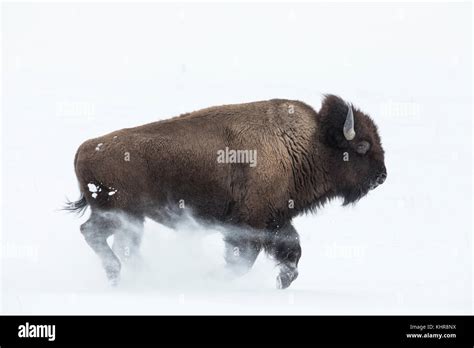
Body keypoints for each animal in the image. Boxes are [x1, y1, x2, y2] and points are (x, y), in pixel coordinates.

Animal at [65, 94, 386, 288]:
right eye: (362, 145)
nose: (382, 176)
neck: (309, 144)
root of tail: (83, 149)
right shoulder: (249, 224)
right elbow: (242, 259)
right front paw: (214, 278)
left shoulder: (276, 220)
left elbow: (292, 251)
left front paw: (283, 280)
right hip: (117, 213)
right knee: (94, 234)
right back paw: (123, 275)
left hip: (133, 219)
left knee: (122, 245)